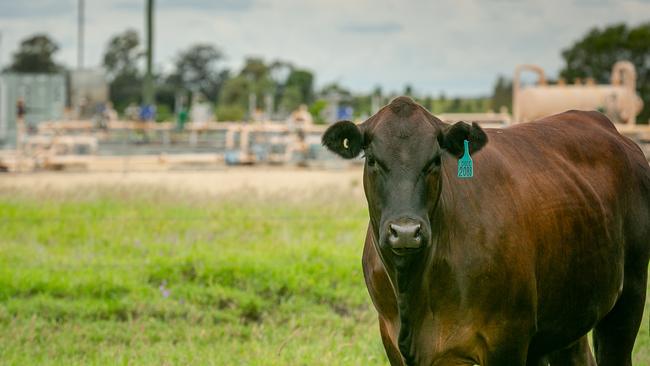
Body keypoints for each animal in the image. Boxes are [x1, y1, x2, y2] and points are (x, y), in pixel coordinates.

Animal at [322, 97, 644, 366]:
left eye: (435, 161)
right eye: (372, 160)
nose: (405, 231)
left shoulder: (507, 340)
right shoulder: (393, 341)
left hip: (628, 300)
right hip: (567, 318)